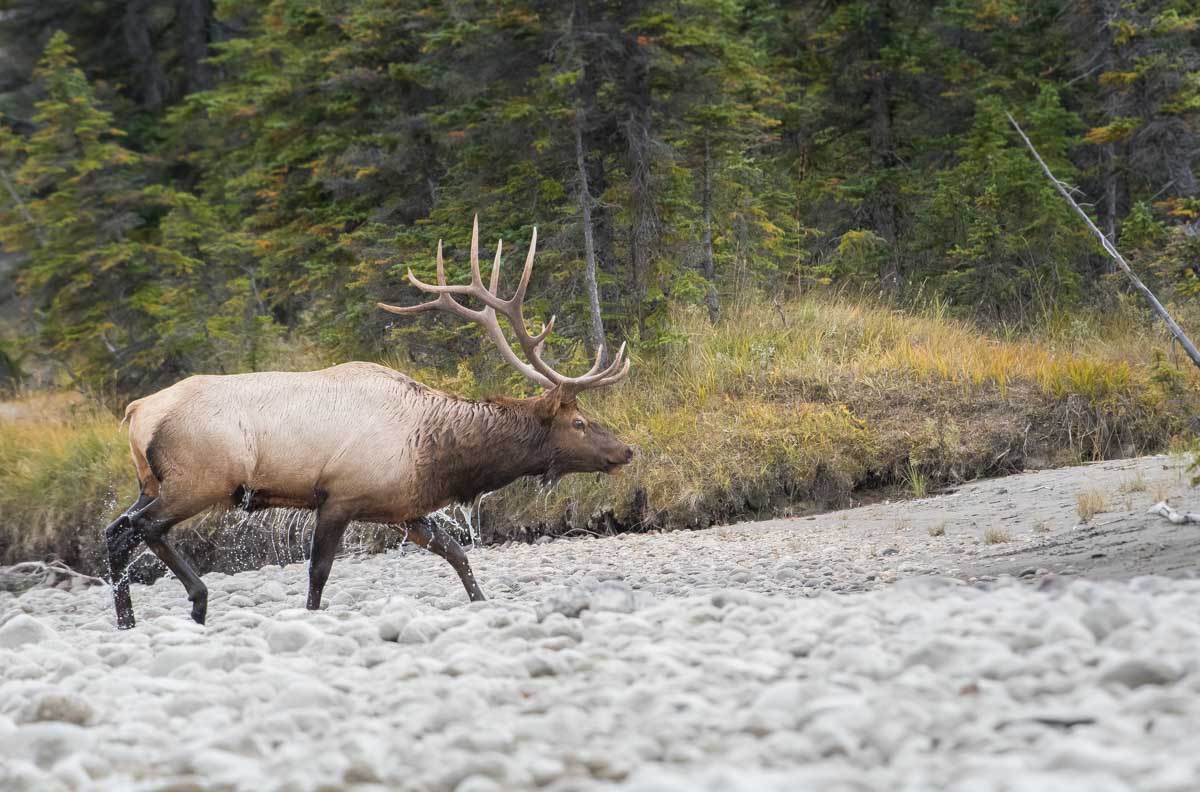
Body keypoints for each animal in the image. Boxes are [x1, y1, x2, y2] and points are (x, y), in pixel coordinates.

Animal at [103, 217, 633, 629]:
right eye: (580, 422)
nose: (627, 450)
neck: (437, 454)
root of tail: (137, 411)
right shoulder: (339, 495)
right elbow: (318, 573)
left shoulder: (402, 507)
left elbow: (457, 553)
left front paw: (482, 601)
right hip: (201, 478)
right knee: (142, 528)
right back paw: (197, 599)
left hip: (152, 481)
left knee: (116, 531)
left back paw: (128, 620)